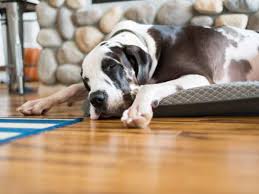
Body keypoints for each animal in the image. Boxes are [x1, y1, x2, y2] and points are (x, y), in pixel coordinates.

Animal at [17, 20, 259, 128]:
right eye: (86, 81)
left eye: (112, 66)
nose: (96, 99)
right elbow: (68, 88)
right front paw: (37, 103)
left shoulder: (198, 76)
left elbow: (148, 86)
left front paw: (137, 110)